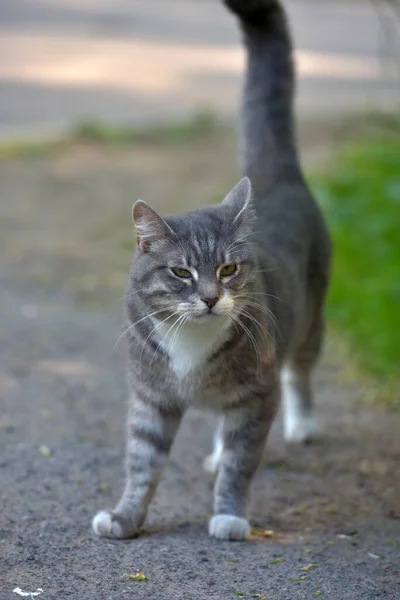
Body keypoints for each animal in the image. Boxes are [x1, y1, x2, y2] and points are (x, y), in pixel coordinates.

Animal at [92, 0, 330, 544]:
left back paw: (303, 424)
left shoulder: (257, 393)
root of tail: (273, 177)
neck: (191, 345)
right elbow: (142, 463)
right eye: (181, 272)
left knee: (300, 370)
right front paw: (125, 517)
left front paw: (229, 516)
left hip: (311, 318)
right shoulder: (150, 398)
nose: (209, 297)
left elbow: (243, 463)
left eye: (228, 269)